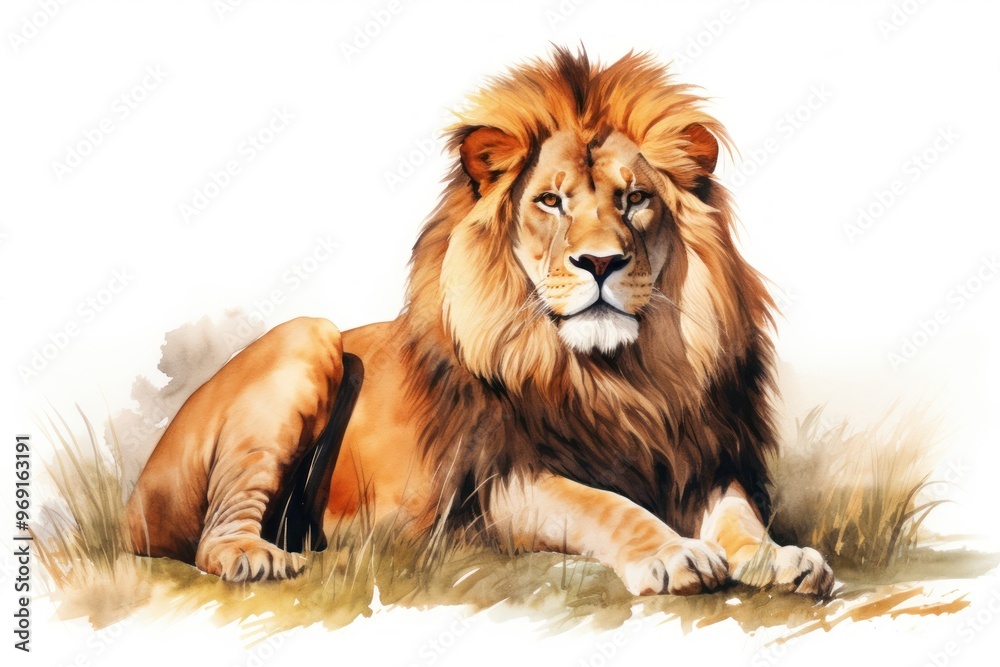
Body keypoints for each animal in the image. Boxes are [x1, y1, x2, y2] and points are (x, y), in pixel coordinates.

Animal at [126, 48, 834, 597]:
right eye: (549, 201)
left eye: (636, 199)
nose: (601, 261)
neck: (616, 378)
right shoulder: (498, 485)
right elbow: (604, 504)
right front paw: (672, 552)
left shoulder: (696, 455)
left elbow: (739, 513)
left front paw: (781, 558)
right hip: (308, 336)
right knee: (211, 534)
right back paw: (256, 558)